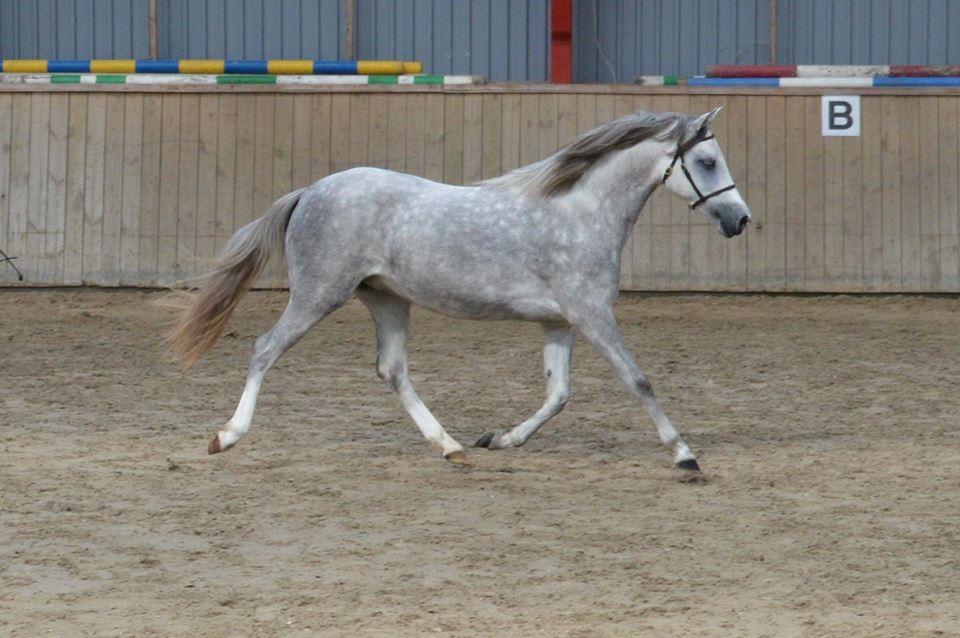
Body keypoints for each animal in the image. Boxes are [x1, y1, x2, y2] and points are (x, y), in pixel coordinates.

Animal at [169, 106, 751, 471]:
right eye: (706, 162)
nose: (740, 220)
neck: (582, 214)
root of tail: (310, 191)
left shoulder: (559, 321)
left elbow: (558, 394)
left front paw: (499, 439)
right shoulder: (591, 314)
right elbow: (638, 380)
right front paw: (684, 454)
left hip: (386, 298)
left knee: (393, 370)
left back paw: (451, 448)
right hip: (319, 294)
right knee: (264, 349)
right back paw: (226, 436)